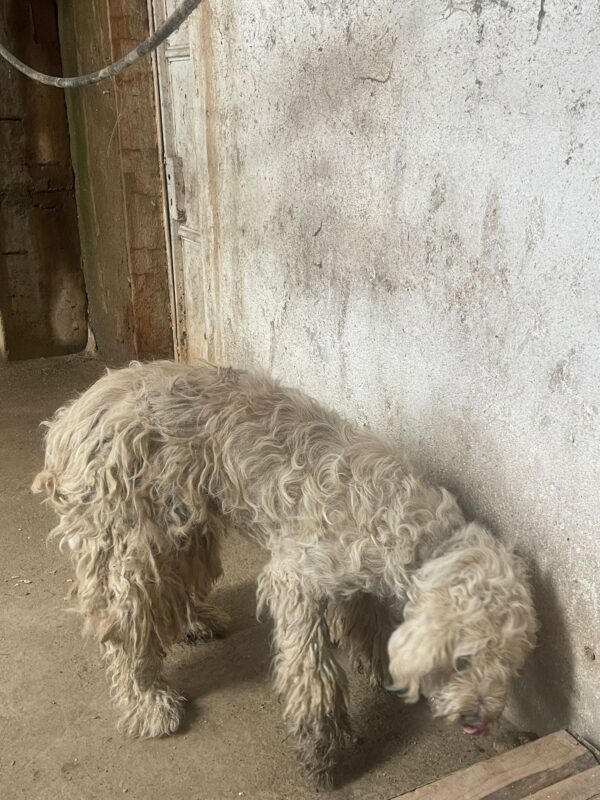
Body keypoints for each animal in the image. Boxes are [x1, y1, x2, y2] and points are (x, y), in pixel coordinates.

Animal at [33, 360, 537, 785]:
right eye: (463, 659)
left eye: (510, 661)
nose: (480, 720)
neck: (409, 526)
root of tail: (75, 411)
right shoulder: (296, 577)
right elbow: (311, 667)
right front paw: (322, 746)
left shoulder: (360, 585)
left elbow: (369, 626)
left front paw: (380, 667)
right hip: (131, 542)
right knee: (127, 630)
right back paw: (148, 702)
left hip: (184, 526)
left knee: (175, 585)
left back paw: (196, 621)